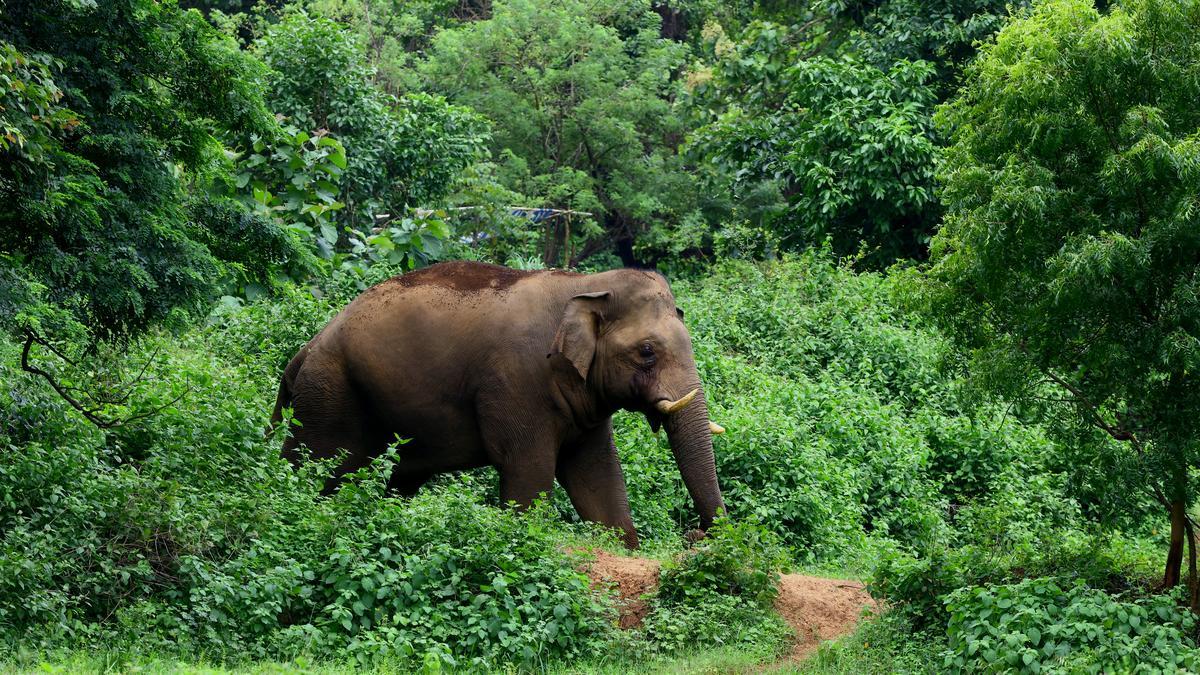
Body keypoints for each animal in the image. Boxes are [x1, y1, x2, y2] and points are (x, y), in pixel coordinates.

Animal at [270, 260, 725, 549]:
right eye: (647, 352)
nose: (695, 535)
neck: (587, 283)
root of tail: (304, 351)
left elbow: (597, 473)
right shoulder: (517, 381)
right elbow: (529, 470)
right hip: (330, 395)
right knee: (316, 468)